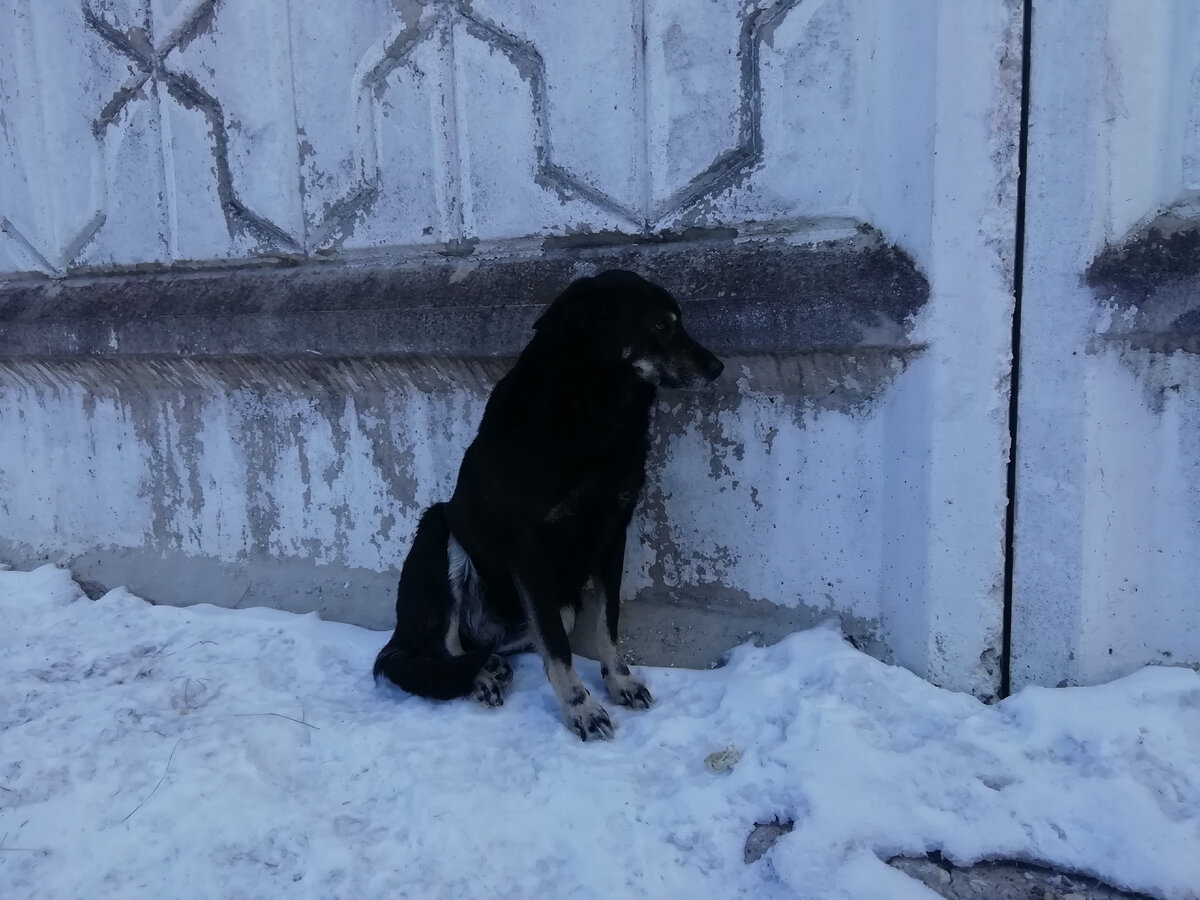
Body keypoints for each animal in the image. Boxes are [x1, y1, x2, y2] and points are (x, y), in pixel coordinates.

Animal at [369, 270, 720, 739]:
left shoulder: (613, 534)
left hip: (559, 601)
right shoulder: (529, 547)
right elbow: (556, 646)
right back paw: (479, 677)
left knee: (491, 645)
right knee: (442, 646)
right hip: (438, 530)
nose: (718, 368)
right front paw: (580, 709)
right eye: (661, 325)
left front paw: (619, 682)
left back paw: (490, 664)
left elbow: (607, 623)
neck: (596, 410)